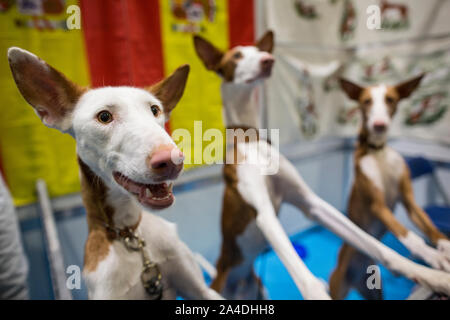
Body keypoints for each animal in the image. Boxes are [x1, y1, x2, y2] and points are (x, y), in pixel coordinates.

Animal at [326, 75, 450, 300]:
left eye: (390, 100)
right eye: (366, 101)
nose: (379, 125)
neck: (378, 152)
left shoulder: (409, 201)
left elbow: (429, 226)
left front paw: (445, 246)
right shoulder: (378, 205)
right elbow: (409, 236)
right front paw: (434, 257)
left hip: (375, 289)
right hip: (337, 286)